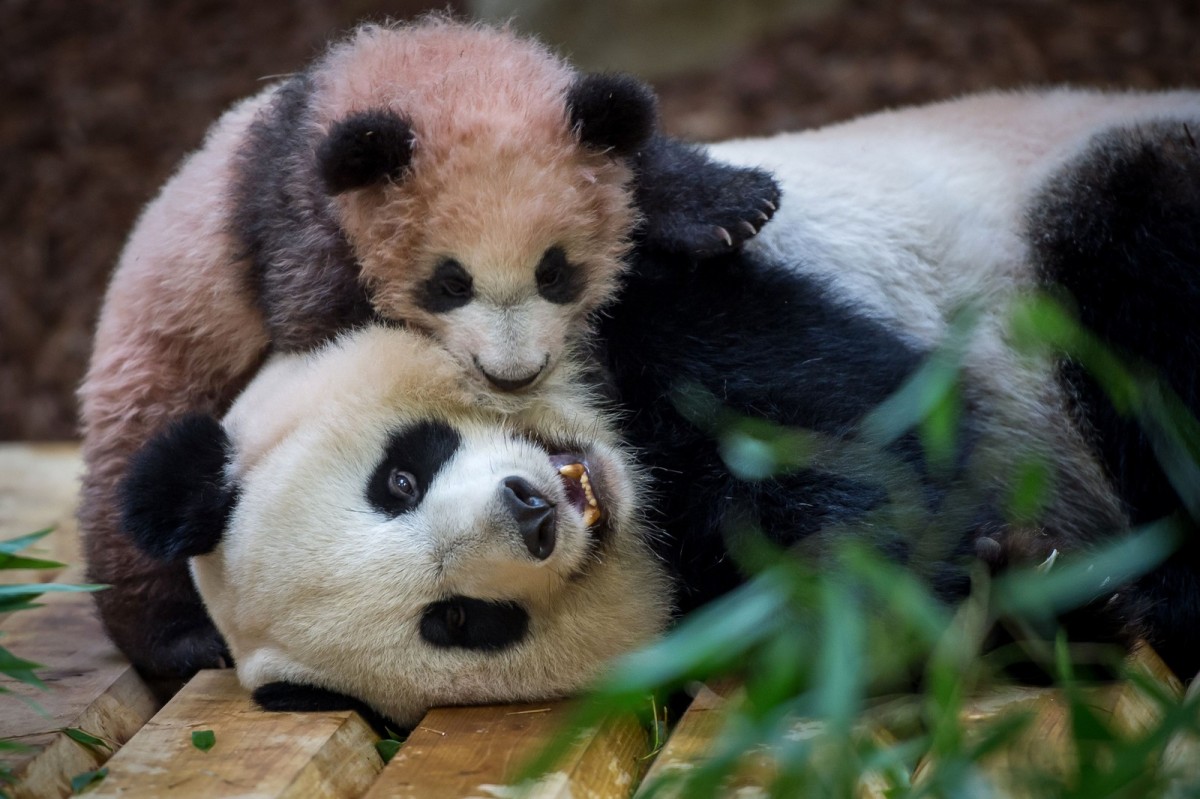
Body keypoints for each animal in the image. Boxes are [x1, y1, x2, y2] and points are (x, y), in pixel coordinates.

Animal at [78, 16, 779, 679]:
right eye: (450, 283)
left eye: (556, 272)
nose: (513, 375)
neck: (429, 72)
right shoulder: (294, 225)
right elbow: (327, 330)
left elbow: (636, 153)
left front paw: (731, 207)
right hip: (163, 361)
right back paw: (177, 639)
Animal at [120, 87, 1200, 727]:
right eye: (460, 622)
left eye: (399, 475)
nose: (533, 511)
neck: (642, 478)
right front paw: (1018, 595)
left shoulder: (644, 292)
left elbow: (855, 427)